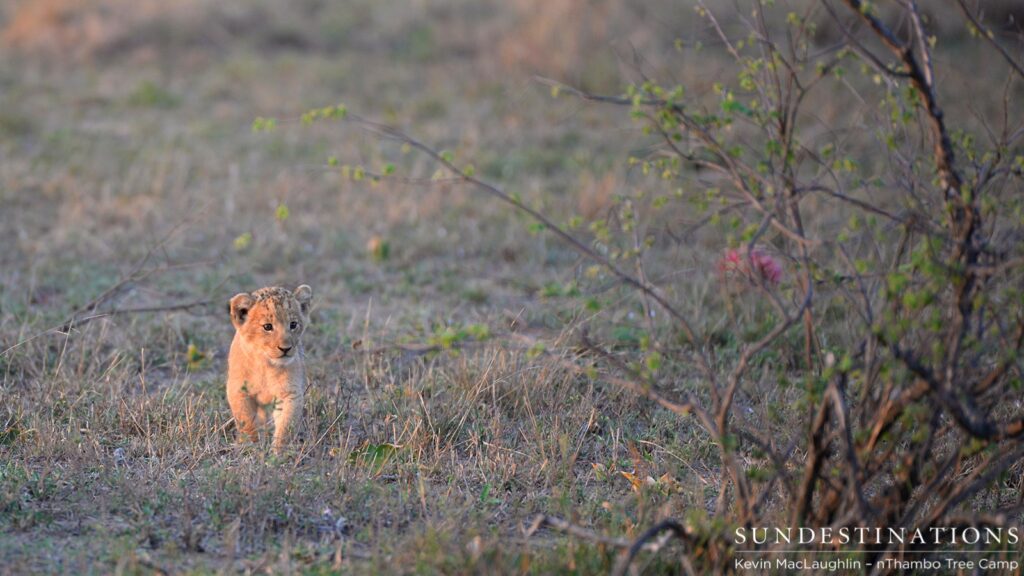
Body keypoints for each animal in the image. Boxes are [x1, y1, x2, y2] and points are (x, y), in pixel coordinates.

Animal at [226, 284, 312, 452]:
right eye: (267, 327)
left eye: (293, 324)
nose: (285, 348)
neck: (266, 366)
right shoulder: (239, 391)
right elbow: (247, 422)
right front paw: (251, 447)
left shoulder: (289, 393)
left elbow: (286, 425)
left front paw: (279, 451)